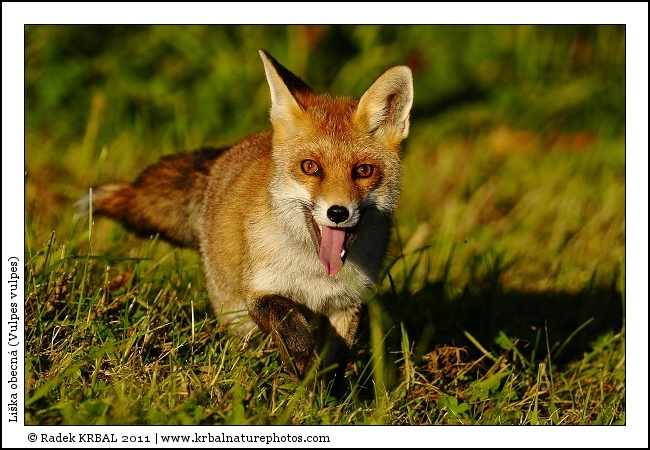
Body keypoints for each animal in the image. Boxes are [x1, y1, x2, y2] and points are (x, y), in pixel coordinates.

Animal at [83, 50, 413, 383]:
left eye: (364, 171)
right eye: (310, 167)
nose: (337, 212)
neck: (314, 271)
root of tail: (225, 154)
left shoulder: (346, 304)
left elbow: (335, 363)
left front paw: (325, 393)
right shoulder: (259, 290)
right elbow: (288, 321)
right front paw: (304, 365)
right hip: (233, 311)